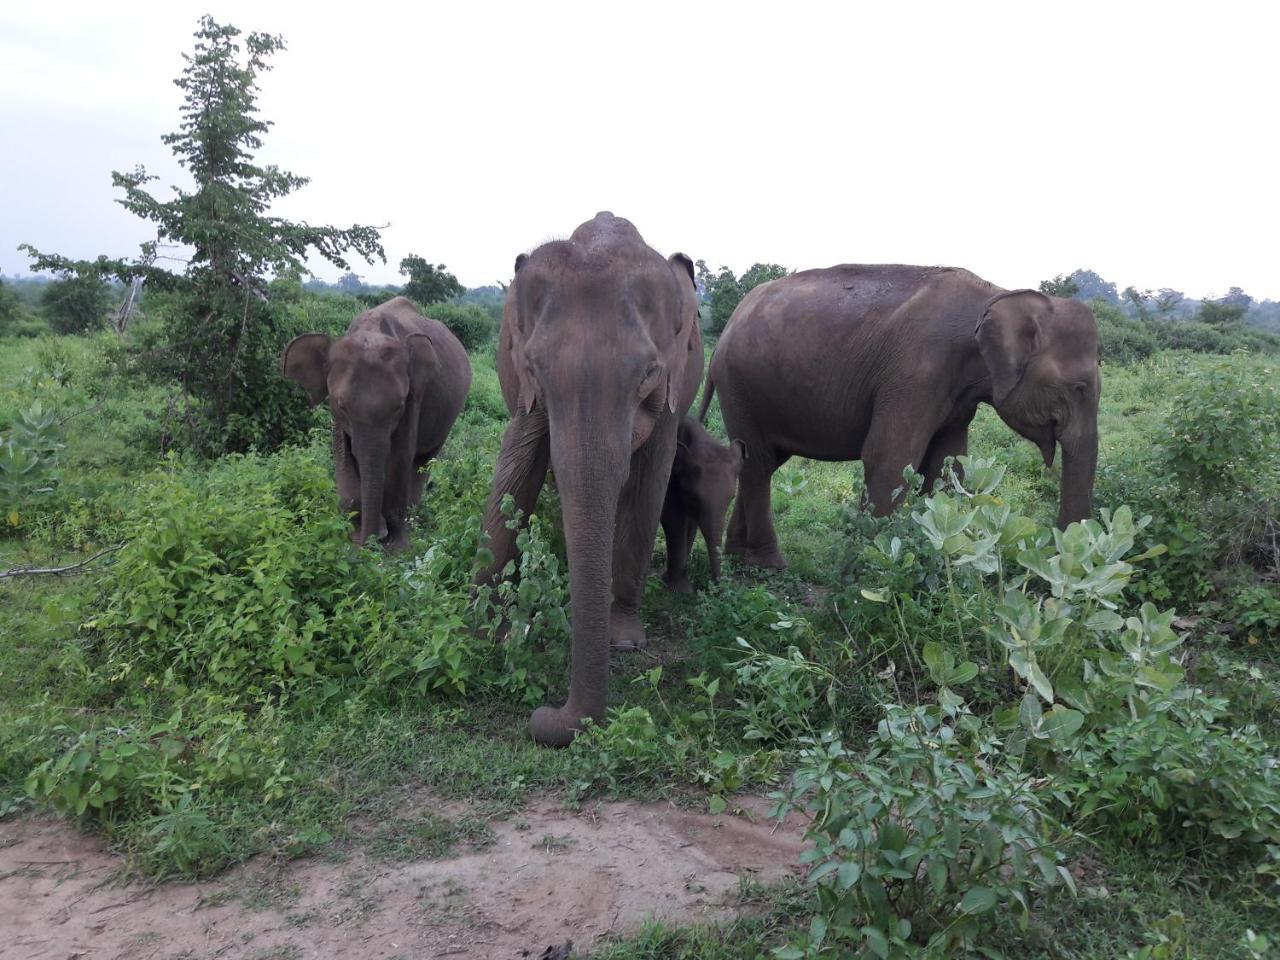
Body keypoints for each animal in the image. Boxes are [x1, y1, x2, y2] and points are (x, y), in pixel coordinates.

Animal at [282, 296, 473, 552]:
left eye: (399, 406)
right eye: (341, 406)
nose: (370, 542)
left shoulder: (414, 397)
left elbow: (400, 456)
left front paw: (395, 547)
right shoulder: (337, 417)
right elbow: (342, 454)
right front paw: (355, 538)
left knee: (423, 461)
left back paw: (412, 517)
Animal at [478, 213, 706, 747]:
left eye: (647, 373)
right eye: (534, 365)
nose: (543, 716)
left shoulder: (673, 384)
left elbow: (646, 487)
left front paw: (624, 640)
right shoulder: (527, 392)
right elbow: (516, 468)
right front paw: (481, 627)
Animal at [660, 419, 747, 593]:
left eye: (732, 498)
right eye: (694, 497)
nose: (715, 586)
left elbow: (691, 523)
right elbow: (672, 519)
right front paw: (680, 589)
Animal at [701, 263, 1100, 570]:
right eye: (1079, 388)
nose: (1057, 560)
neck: (997, 295)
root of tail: (727, 325)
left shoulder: (957, 395)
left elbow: (947, 464)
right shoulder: (915, 374)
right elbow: (889, 457)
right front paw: (871, 568)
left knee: (760, 461)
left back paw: (738, 557)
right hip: (739, 386)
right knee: (758, 463)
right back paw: (769, 565)